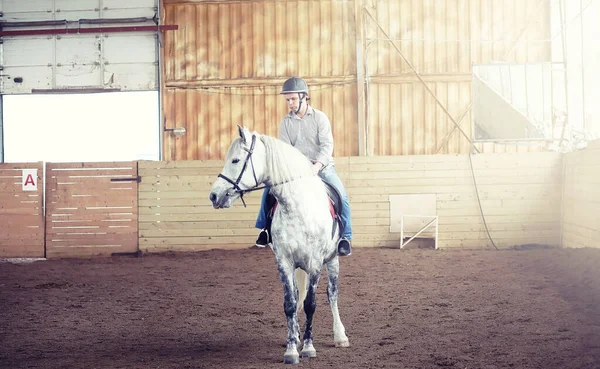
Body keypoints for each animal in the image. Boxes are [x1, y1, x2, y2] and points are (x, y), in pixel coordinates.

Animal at [209, 126, 350, 362]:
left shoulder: (314, 262)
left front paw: (309, 348)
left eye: (236, 160)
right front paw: (292, 348)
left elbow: (311, 304)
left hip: (332, 260)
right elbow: (291, 303)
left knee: (332, 293)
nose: (213, 195)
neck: (298, 206)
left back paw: (340, 336)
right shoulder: (284, 261)